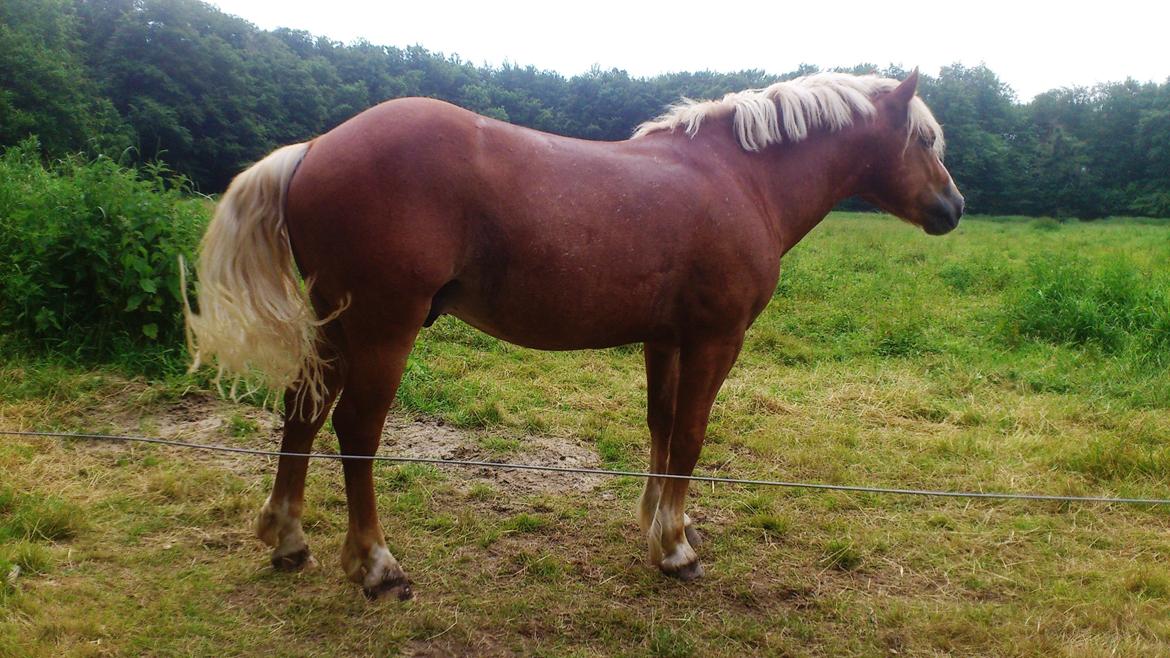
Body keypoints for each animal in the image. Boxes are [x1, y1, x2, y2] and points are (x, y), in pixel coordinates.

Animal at [187, 69, 964, 597]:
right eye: (924, 138)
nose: (953, 206)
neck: (740, 178)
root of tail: (315, 146)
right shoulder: (715, 339)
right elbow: (690, 436)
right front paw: (676, 549)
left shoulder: (664, 338)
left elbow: (660, 428)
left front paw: (658, 523)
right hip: (383, 327)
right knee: (356, 431)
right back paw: (376, 565)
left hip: (336, 326)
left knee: (303, 412)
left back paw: (288, 540)